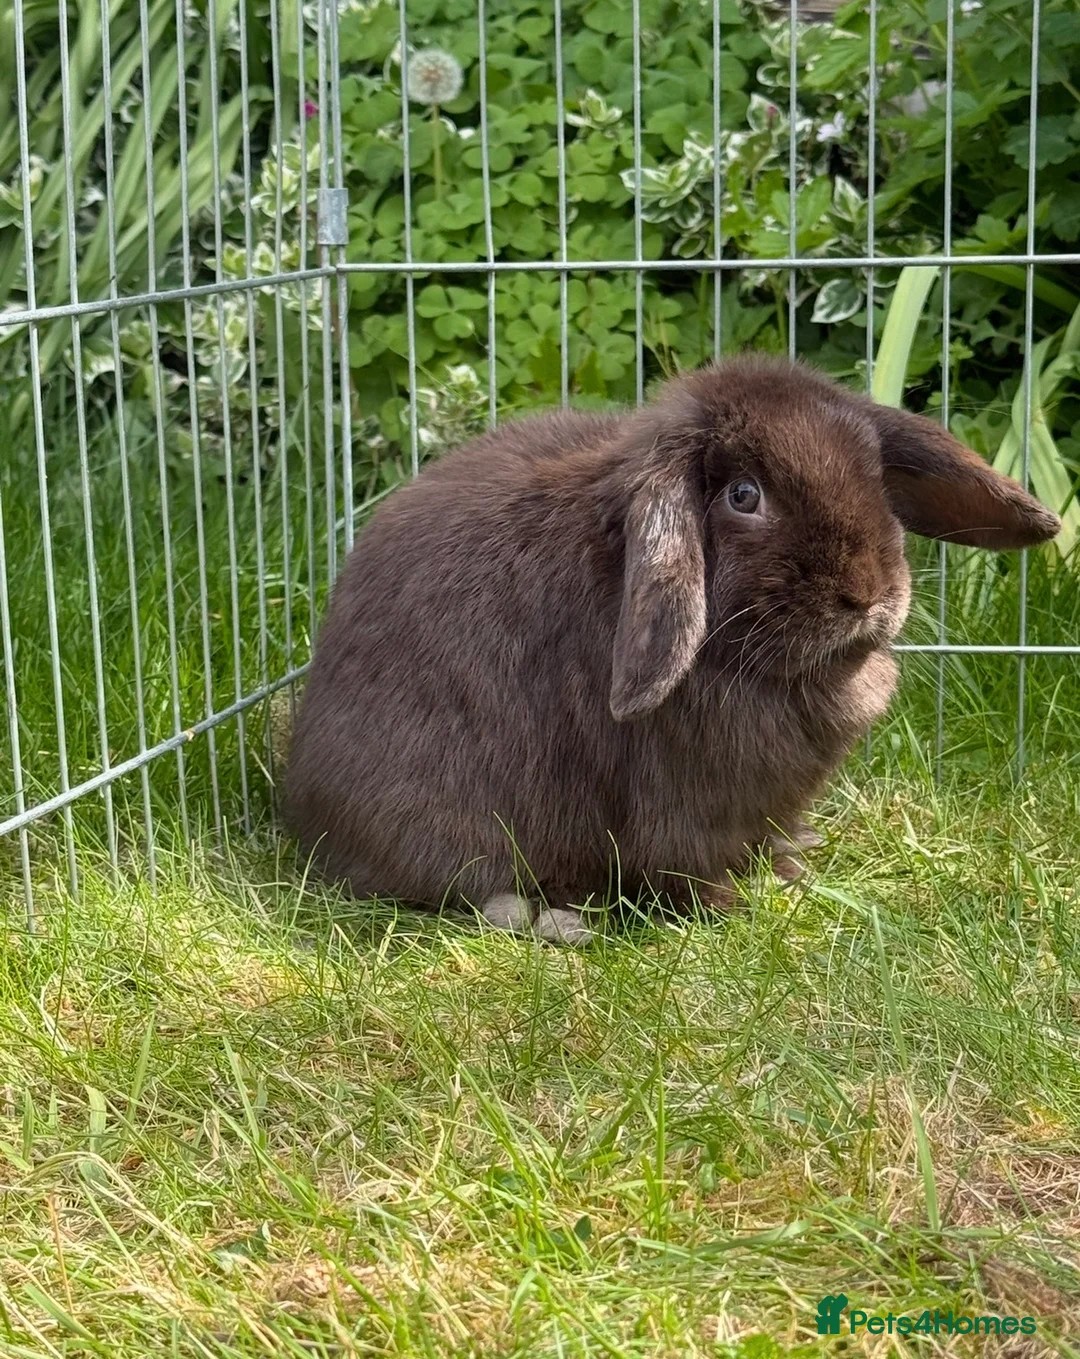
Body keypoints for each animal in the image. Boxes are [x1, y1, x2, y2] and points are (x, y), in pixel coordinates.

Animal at [284, 356, 1059, 945]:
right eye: (744, 495)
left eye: (877, 477)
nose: (867, 594)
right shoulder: (679, 808)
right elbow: (687, 869)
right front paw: (735, 906)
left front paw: (791, 863)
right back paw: (548, 919)